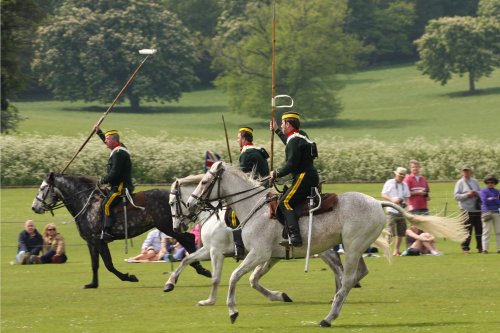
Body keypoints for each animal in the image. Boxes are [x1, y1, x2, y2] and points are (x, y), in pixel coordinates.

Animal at [31, 171, 211, 288]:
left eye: (42, 188)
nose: (34, 207)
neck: (86, 204)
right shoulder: (91, 242)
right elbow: (95, 264)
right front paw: (92, 284)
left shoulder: (99, 241)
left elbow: (108, 264)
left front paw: (129, 277)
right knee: (189, 239)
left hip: (169, 227)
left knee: (188, 239)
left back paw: (201, 269)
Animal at [164, 174, 372, 306]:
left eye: (172, 203)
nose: (176, 228)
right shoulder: (209, 250)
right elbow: (186, 259)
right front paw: (170, 283)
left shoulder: (216, 251)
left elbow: (216, 277)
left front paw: (210, 300)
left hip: (320, 248)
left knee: (338, 267)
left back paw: (340, 292)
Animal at [187, 161, 468, 326]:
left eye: (204, 181)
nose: (190, 204)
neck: (253, 208)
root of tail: (378, 203)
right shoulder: (265, 256)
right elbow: (247, 278)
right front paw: (274, 297)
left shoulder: (258, 253)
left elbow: (234, 276)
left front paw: (232, 311)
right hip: (350, 247)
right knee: (354, 275)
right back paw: (334, 305)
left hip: (352, 247)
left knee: (348, 278)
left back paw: (329, 316)